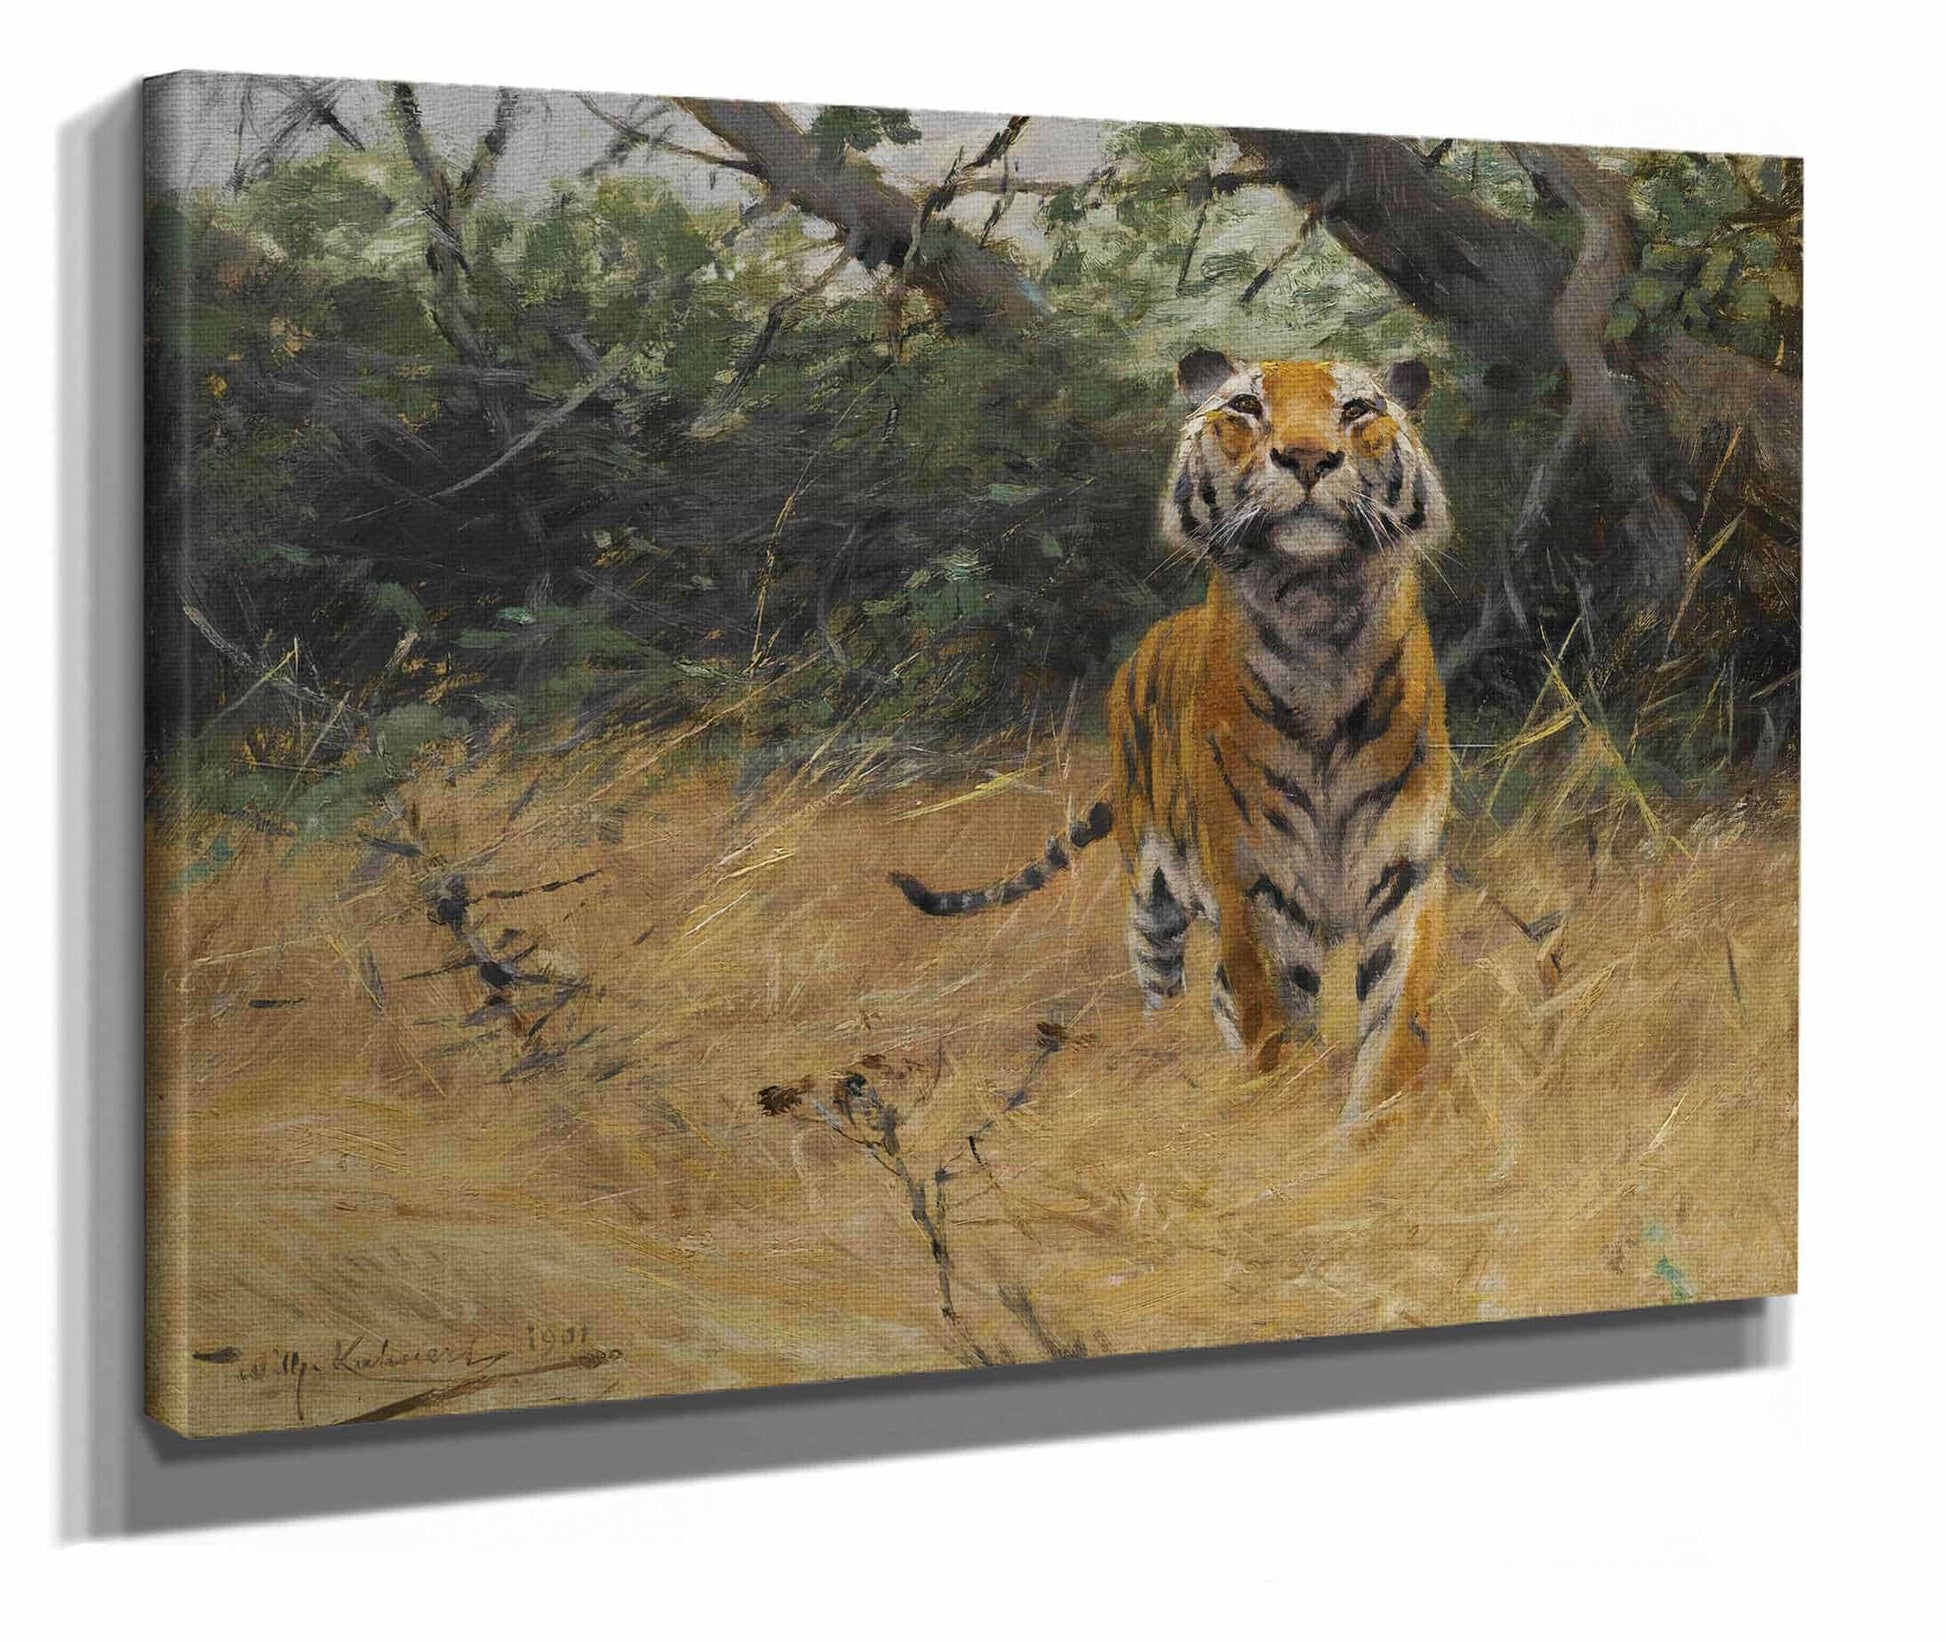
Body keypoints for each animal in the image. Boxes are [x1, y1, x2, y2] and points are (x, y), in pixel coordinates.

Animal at [891, 349, 1452, 1116]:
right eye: (1246, 405)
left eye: (1358, 409)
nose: (1307, 456)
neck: (1319, 620)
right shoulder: (1253, 876)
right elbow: (1275, 1010)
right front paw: (1287, 1112)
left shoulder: (1406, 868)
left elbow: (1396, 1021)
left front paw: (1376, 1123)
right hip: (1150, 901)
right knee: (1173, 985)